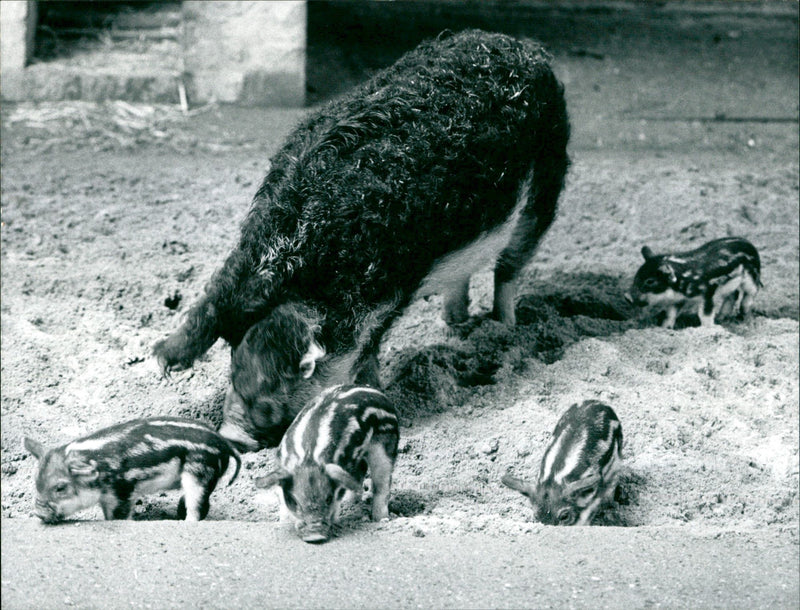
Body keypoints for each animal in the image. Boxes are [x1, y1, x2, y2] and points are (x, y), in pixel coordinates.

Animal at [24, 417, 240, 523]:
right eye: (36, 483)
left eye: (60, 488)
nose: (38, 513)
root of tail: (224, 443)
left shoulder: (122, 492)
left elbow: (117, 517)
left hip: (199, 472)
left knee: (197, 505)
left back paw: (187, 522)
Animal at [152, 29, 570, 451]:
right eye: (233, 375)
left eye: (278, 390)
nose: (232, 437)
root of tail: (522, 45)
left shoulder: (384, 297)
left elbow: (367, 353)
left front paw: (377, 395)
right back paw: (454, 325)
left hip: (545, 184)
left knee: (510, 267)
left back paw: (504, 328)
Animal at [254, 385, 399, 543]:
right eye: (295, 501)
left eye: (328, 499)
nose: (315, 536)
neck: (309, 457)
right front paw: (285, 523)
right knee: (361, 471)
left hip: (385, 443)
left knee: (382, 483)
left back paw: (380, 519)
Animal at [626, 237, 762, 329]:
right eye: (637, 276)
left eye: (650, 281)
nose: (627, 297)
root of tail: (749, 244)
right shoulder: (677, 300)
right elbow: (669, 315)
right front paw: (665, 329)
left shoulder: (708, 293)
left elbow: (704, 315)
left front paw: (709, 329)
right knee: (734, 294)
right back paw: (721, 318)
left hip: (752, 278)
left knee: (750, 295)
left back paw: (745, 318)